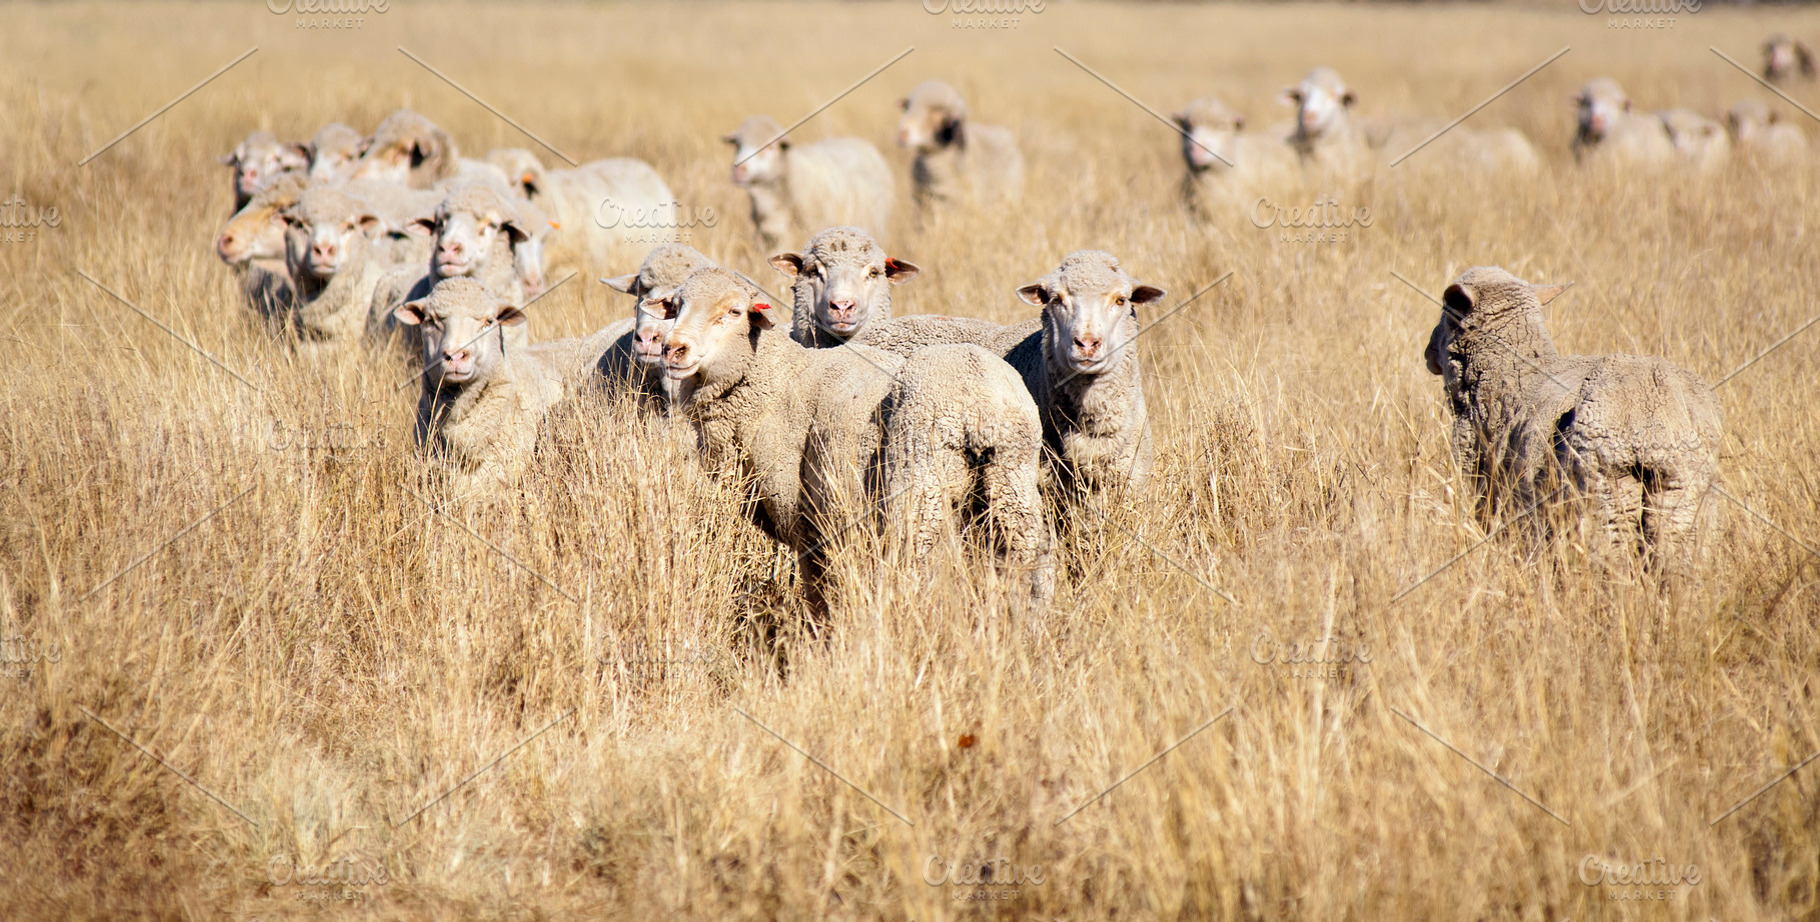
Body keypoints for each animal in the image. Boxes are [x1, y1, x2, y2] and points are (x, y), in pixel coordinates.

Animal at [660, 267, 1052, 620]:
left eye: (734, 312)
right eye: (676, 306)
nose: (673, 349)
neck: (778, 378)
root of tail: (979, 404)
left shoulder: (806, 524)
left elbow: (817, 596)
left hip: (919, 487)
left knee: (918, 565)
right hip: (1011, 483)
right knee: (1031, 559)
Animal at [1422, 266, 1721, 570]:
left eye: (1446, 311)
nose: (1428, 353)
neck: (1515, 375)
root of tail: (1652, 410)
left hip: (1603, 492)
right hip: (1682, 497)